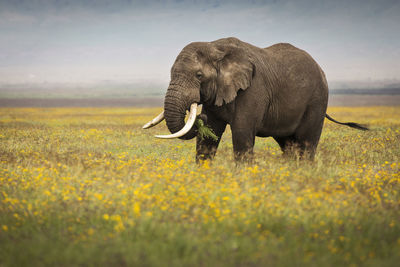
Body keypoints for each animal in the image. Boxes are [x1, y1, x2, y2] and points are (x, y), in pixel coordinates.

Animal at [142, 37, 368, 162]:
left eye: (199, 75)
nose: (199, 117)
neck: (216, 47)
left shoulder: (253, 89)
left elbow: (242, 133)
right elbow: (208, 139)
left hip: (317, 99)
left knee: (306, 143)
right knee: (289, 145)